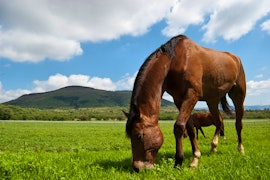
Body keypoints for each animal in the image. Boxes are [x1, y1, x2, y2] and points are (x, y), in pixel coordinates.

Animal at [125, 34, 246, 172]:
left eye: (139, 136)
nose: (137, 168)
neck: (175, 61)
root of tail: (235, 58)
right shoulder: (179, 99)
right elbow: (189, 127)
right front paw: (195, 157)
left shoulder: (192, 95)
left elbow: (178, 126)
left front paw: (179, 161)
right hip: (212, 101)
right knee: (219, 121)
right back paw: (214, 146)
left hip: (238, 96)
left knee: (238, 124)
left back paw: (240, 149)